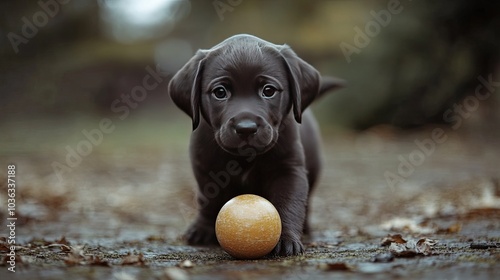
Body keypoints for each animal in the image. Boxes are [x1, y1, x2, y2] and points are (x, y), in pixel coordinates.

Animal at [168, 33, 344, 256]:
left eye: (268, 90)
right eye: (220, 92)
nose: (246, 128)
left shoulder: (289, 170)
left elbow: (289, 203)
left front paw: (286, 239)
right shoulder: (206, 170)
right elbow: (209, 200)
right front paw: (203, 228)